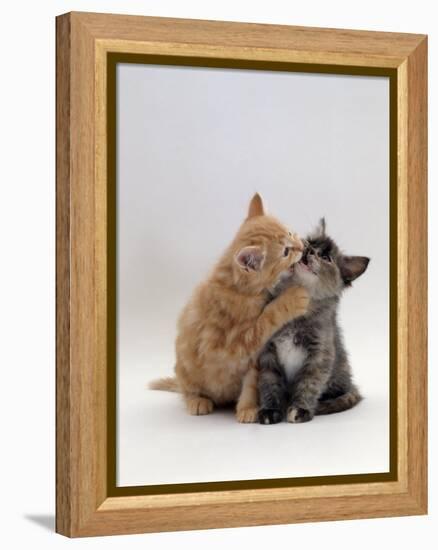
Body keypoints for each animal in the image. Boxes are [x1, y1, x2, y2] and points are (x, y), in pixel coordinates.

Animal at [151, 196, 308, 424]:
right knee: (187, 389)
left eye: (289, 232)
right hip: (184, 367)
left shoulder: (253, 361)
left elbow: (250, 385)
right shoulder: (231, 343)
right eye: (286, 252)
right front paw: (293, 298)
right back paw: (196, 400)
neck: (239, 289)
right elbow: (266, 318)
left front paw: (248, 408)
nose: (302, 245)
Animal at [256, 221, 370, 426]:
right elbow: (269, 383)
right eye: (309, 243)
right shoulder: (268, 354)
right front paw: (270, 410)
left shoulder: (319, 356)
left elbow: (309, 384)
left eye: (325, 257)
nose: (308, 250)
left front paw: (300, 409)